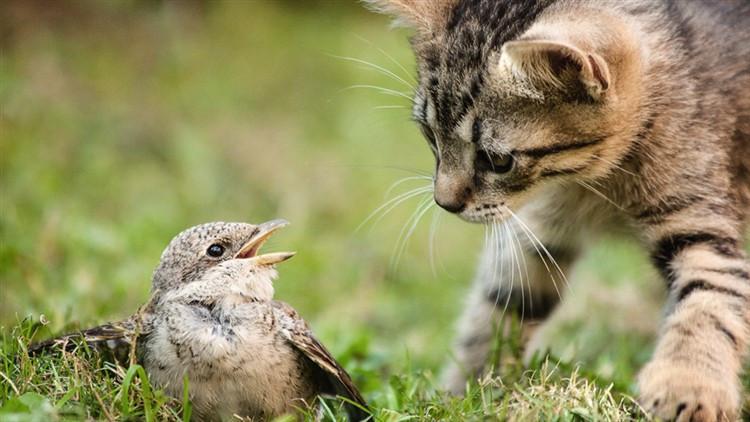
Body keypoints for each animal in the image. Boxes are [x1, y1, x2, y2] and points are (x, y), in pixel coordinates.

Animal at [368, 0, 748, 420]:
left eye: (497, 161)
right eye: (431, 136)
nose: (444, 202)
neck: (599, 182)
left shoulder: (697, 219)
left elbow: (709, 298)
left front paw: (689, 385)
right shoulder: (540, 230)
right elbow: (501, 305)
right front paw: (463, 391)